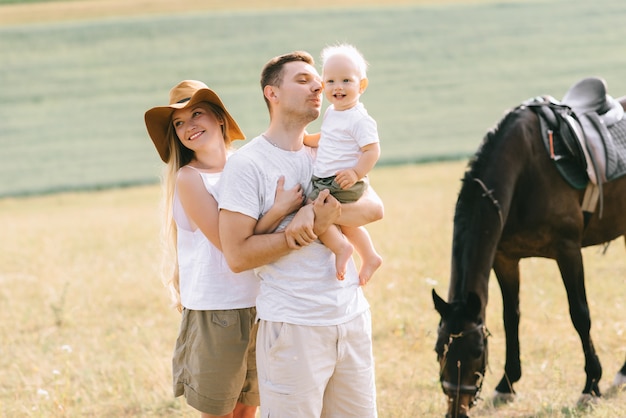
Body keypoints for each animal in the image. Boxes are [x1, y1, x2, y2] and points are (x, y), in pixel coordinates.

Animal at [428, 76, 624, 416]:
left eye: (477, 351)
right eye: (439, 348)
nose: (457, 408)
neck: (524, 170)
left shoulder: (568, 250)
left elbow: (580, 314)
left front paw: (591, 385)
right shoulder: (505, 258)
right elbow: (511, 317)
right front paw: (506, 385)